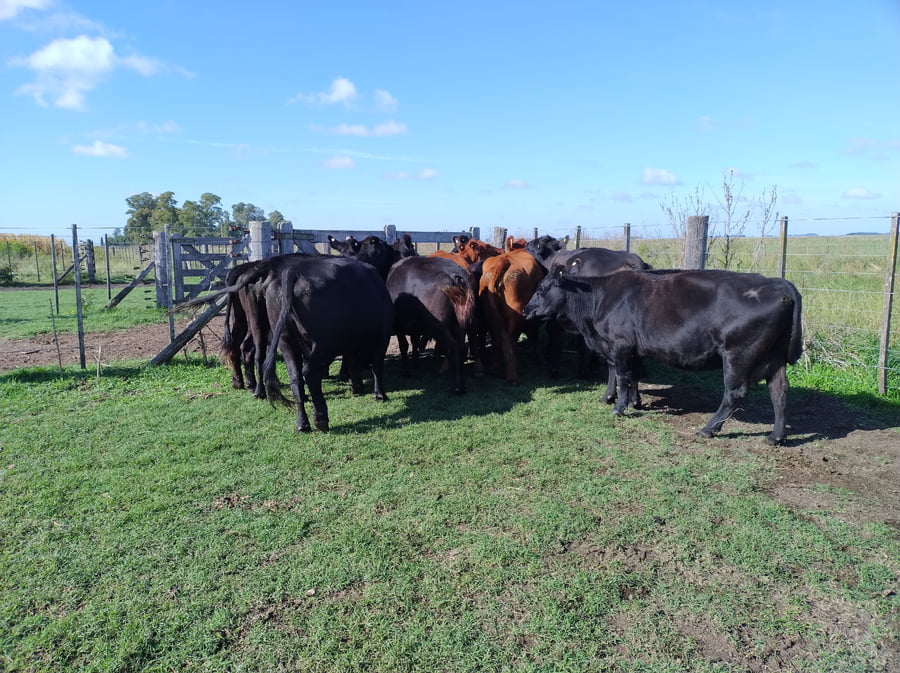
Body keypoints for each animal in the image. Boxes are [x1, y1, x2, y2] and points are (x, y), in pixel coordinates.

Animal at [386, 255, 479, 394]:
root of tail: (454, 275)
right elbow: (414, 342)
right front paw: (415, 363)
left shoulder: (399, 325)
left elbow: (404, 345)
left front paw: (405, 370)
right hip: (461, 324)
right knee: (462, 348)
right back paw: (462, 384)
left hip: (439, 326)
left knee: (452, 348)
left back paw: (456, 387)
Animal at [523, 268, 803, 445]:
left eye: (542, 288)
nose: (525, 310)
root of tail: (777, 282)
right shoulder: (633, 349)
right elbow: (632, 375)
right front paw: (635, 402)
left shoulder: (620, 345)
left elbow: (622, 376)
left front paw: (619, 408)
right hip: (774, 357)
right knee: (779, 390)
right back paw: (776, 436)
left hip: (737, 354)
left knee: (735, 393)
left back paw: (709, 429)